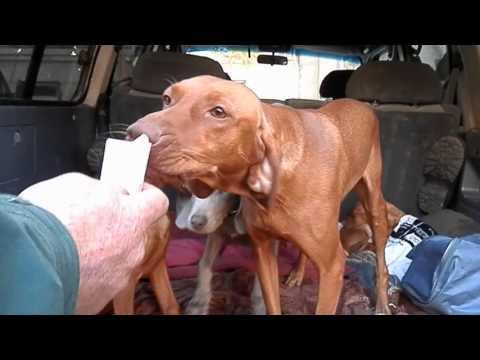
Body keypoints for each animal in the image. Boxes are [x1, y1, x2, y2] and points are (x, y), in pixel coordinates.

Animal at [126, 76, 390, 316]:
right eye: (166, 99)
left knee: (381, 261)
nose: (134, 133)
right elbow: (268, 301)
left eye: (219, 112)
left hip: (374, 208)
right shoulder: (263, 251)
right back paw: (297, 272)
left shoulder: (332, 269)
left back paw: (382, 304)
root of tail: (359, 102)